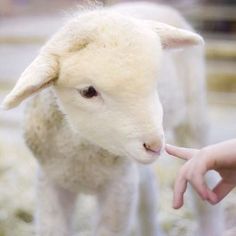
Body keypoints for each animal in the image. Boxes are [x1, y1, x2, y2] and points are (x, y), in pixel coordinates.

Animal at [1, 1, 223, 236]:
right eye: (88, 91)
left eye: (154, 81)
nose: (154, 145)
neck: (81, 154)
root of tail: (157, 5)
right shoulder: (51, 182)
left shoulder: (119, 187)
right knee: (147, 193)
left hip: (194, 112)